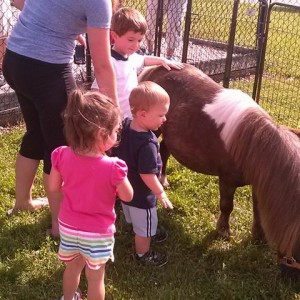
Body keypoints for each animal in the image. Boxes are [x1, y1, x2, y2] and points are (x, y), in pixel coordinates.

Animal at [139, 64, 300, 278]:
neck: (252, 144)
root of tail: (154, 69)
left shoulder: (259, 184)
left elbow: (258, 211)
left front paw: (258, 238)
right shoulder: (227, 180)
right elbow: (226, 206)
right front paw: (223, 232)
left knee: (164, 150)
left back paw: (163, 180)